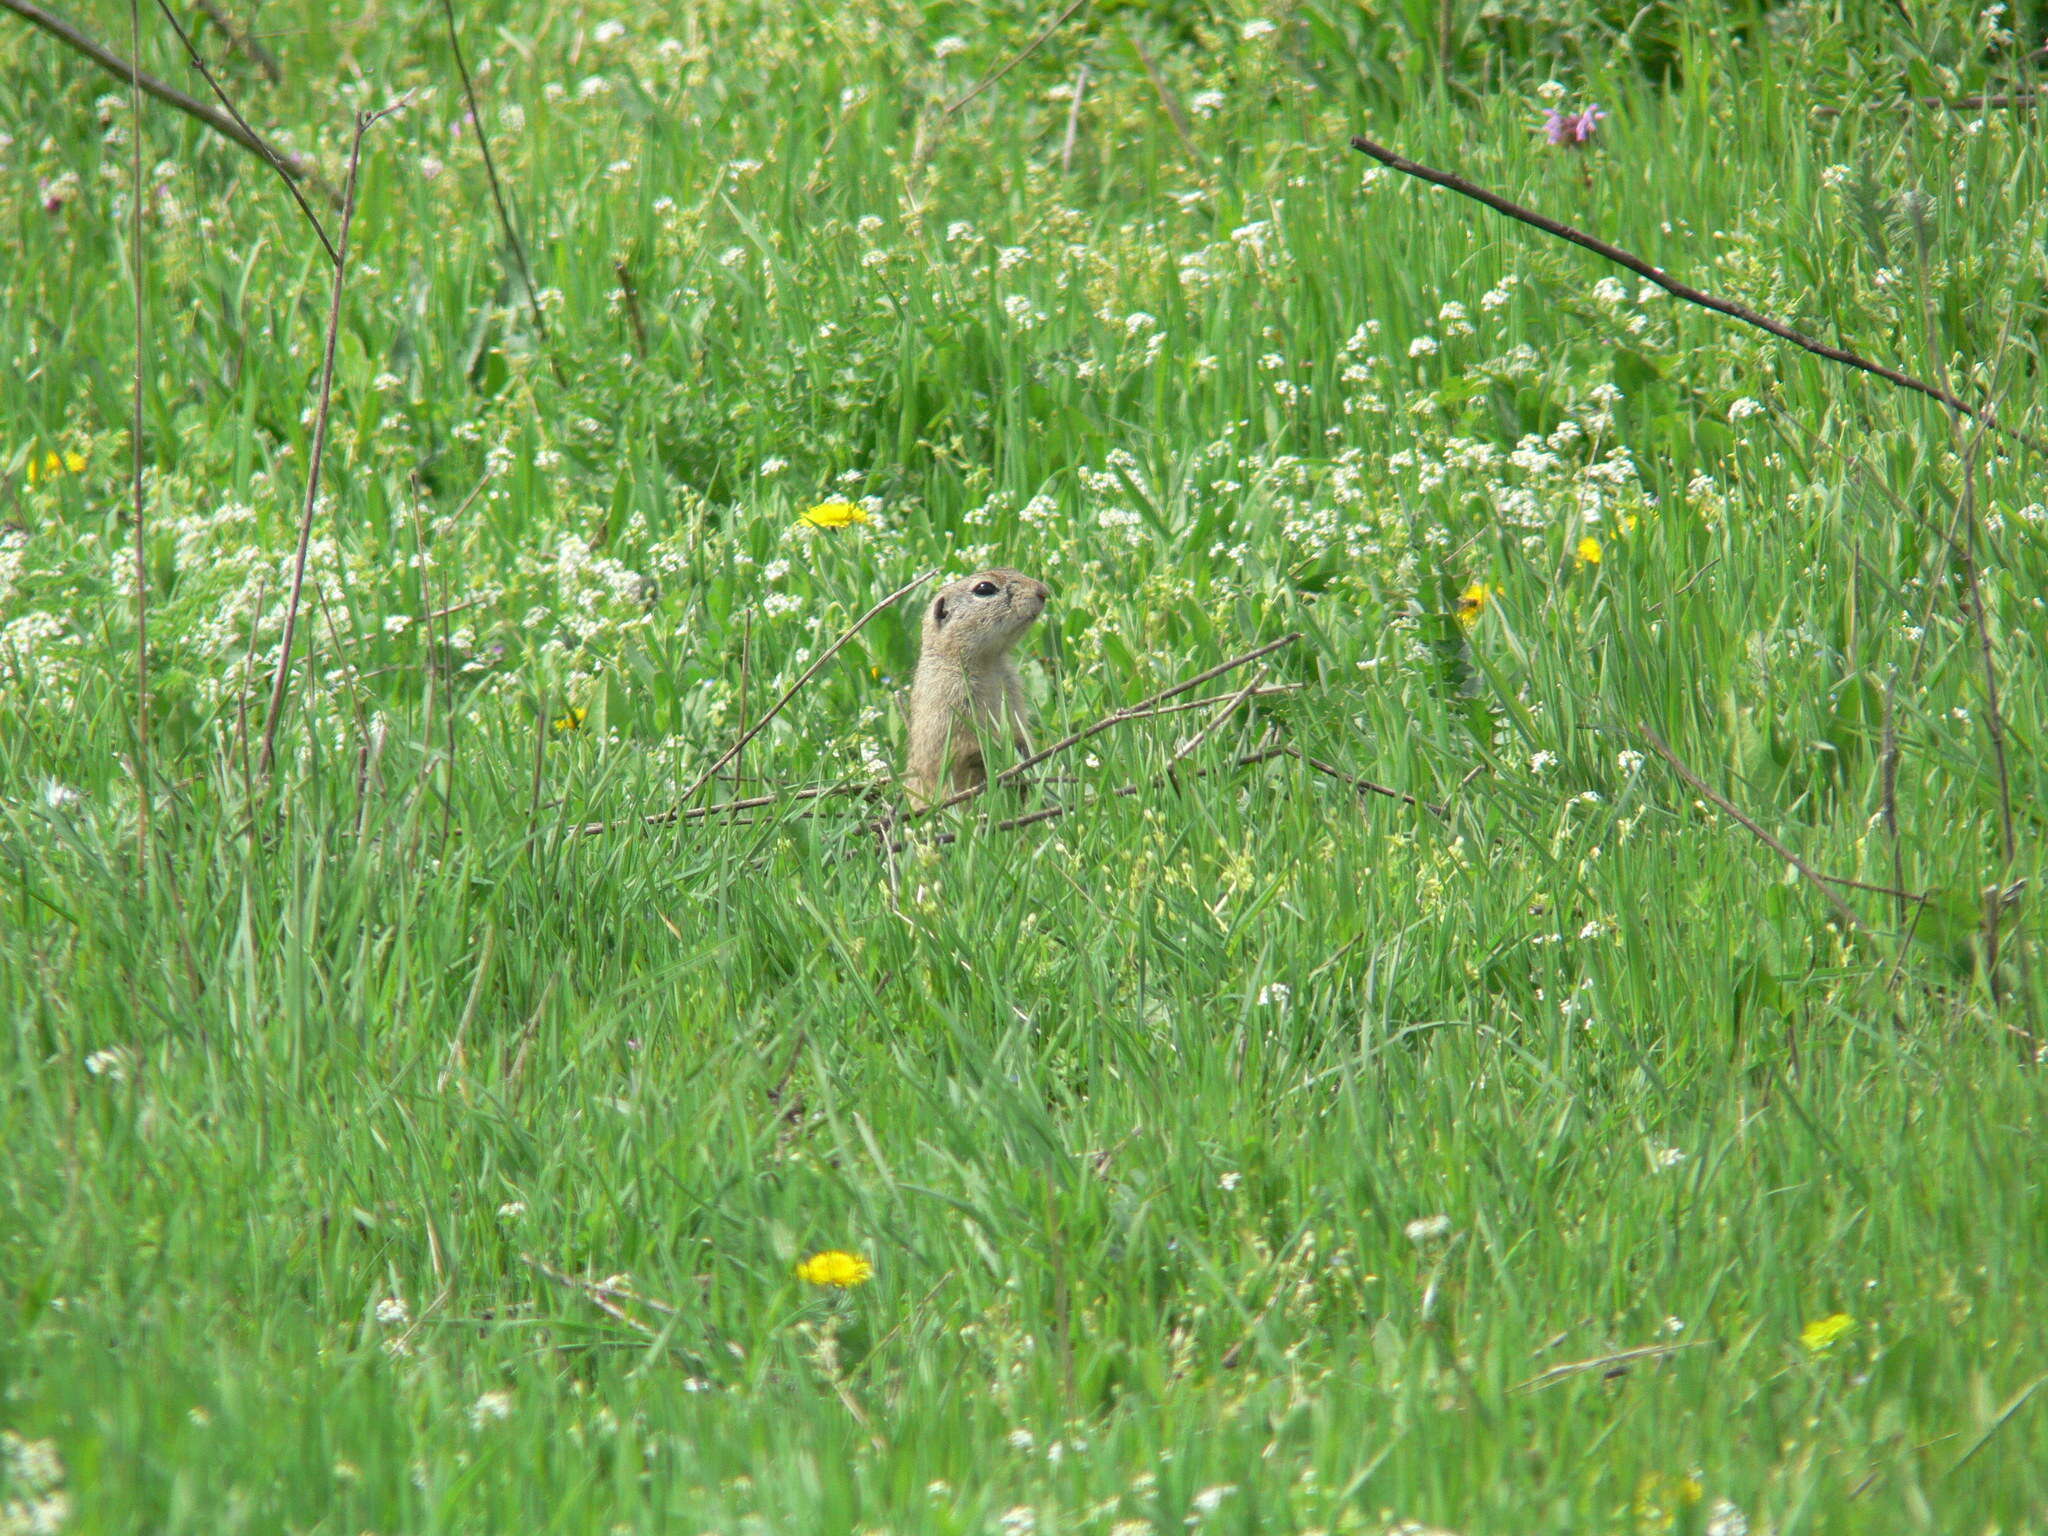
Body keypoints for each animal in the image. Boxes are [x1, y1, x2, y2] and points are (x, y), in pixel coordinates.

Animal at [901, 573, 1048, 811]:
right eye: (984, 588)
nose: (1043, 591)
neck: (988, 663)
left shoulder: (1012, 689)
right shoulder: (950, 700)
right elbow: (962, 749)